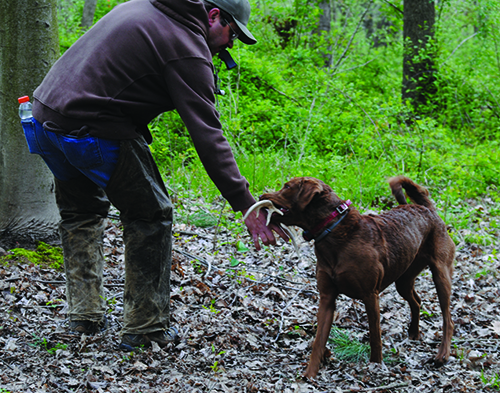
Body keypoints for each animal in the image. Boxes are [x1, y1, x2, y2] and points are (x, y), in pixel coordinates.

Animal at [254, 175, 454, 376]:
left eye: (287, 187)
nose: (260, 196)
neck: (333, 230)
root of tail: (426, 208)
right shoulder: (327, 298)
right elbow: (318, 341)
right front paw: (309, 374)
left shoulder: (370, 295)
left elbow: (375, 336)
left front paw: (376, 365)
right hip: (404, 278)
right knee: (416, 300)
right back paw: (414, 332)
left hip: (441, 274)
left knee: (448, 318)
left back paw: (442, 355)